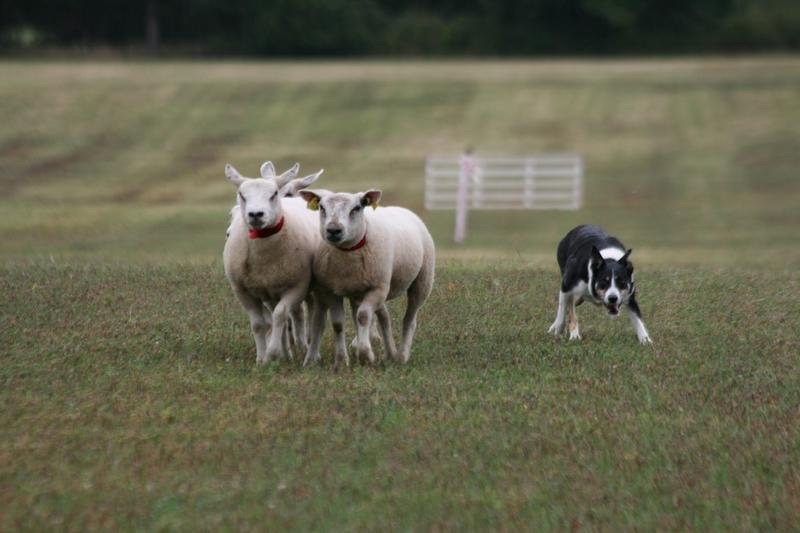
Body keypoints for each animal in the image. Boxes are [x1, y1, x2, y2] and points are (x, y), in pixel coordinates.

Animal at [222, 160, 322, 364]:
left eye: (273, 194)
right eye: (241, 195)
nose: (255, 214)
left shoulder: (297, 286)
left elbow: (280, 316)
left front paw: (274, 352)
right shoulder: (243, 290)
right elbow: (259, 324)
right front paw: (262, 358)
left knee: (307, 313)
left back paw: (306, 346)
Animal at [296, 189, 434, 368]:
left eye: (357, 208)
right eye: (321, 207)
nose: (333, 230)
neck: (347, 253)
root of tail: (404, 210)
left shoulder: (377, 288)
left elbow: (363, 317)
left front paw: (365, 355)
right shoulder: (331, 291)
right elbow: (338, 324)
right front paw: (341, 361)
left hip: (422, 281)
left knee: (409, 319)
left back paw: (402, 355)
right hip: (362, 291)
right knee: (384, 317)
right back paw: (390, 353)